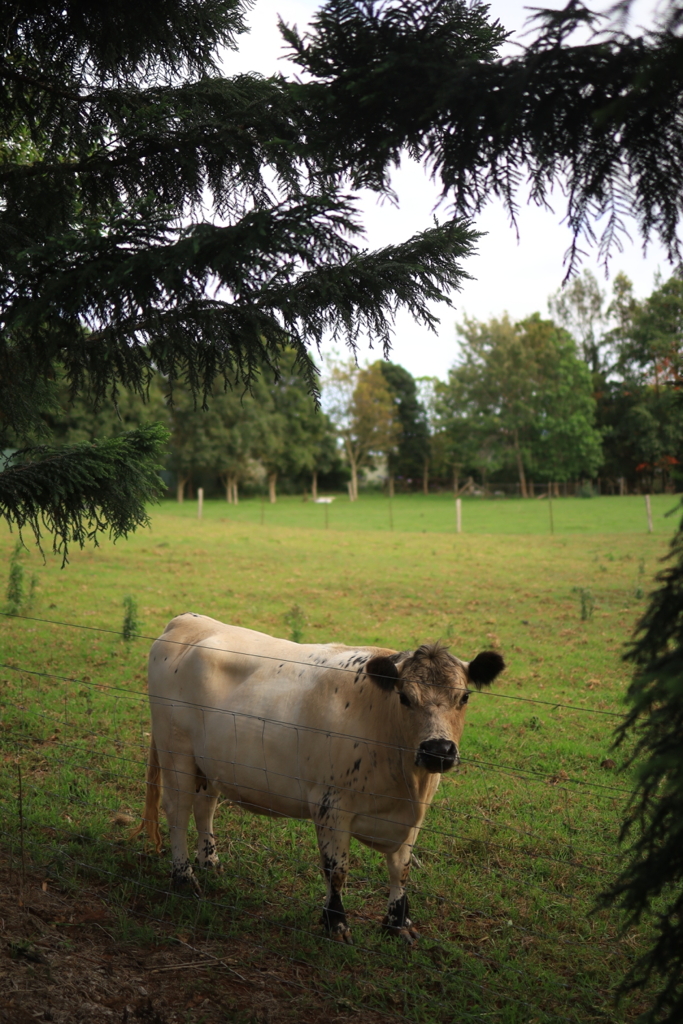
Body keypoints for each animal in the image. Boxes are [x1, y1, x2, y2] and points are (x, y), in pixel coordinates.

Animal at [131, 614, 505, 942]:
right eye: (404, 697)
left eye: (464, 697)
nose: (438, 750)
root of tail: (187, 620)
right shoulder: (331, 805)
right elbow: (336, 870)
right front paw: (336, 924)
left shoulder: (415, 815)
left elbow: (401, 868)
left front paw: (398, 924)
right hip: (177, 753)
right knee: (177, 810)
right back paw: (184, 877)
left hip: (211, 762)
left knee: (204, 806)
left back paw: (210, 862)